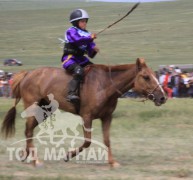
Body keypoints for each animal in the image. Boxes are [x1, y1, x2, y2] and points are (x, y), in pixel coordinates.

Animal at [1, 58, 166, 167]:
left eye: (154, 75)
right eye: (146, 77)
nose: (162, 97)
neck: (105, 84)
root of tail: (27, 74)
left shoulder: (107, 117)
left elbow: (107, 140)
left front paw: (112, 162)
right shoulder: (87, 117)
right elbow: (87, 141)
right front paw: (68, 155)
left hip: (44, 111)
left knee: (28, 130)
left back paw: (25, 155)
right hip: (34, 109)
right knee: (28, 130)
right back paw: (35, 160)